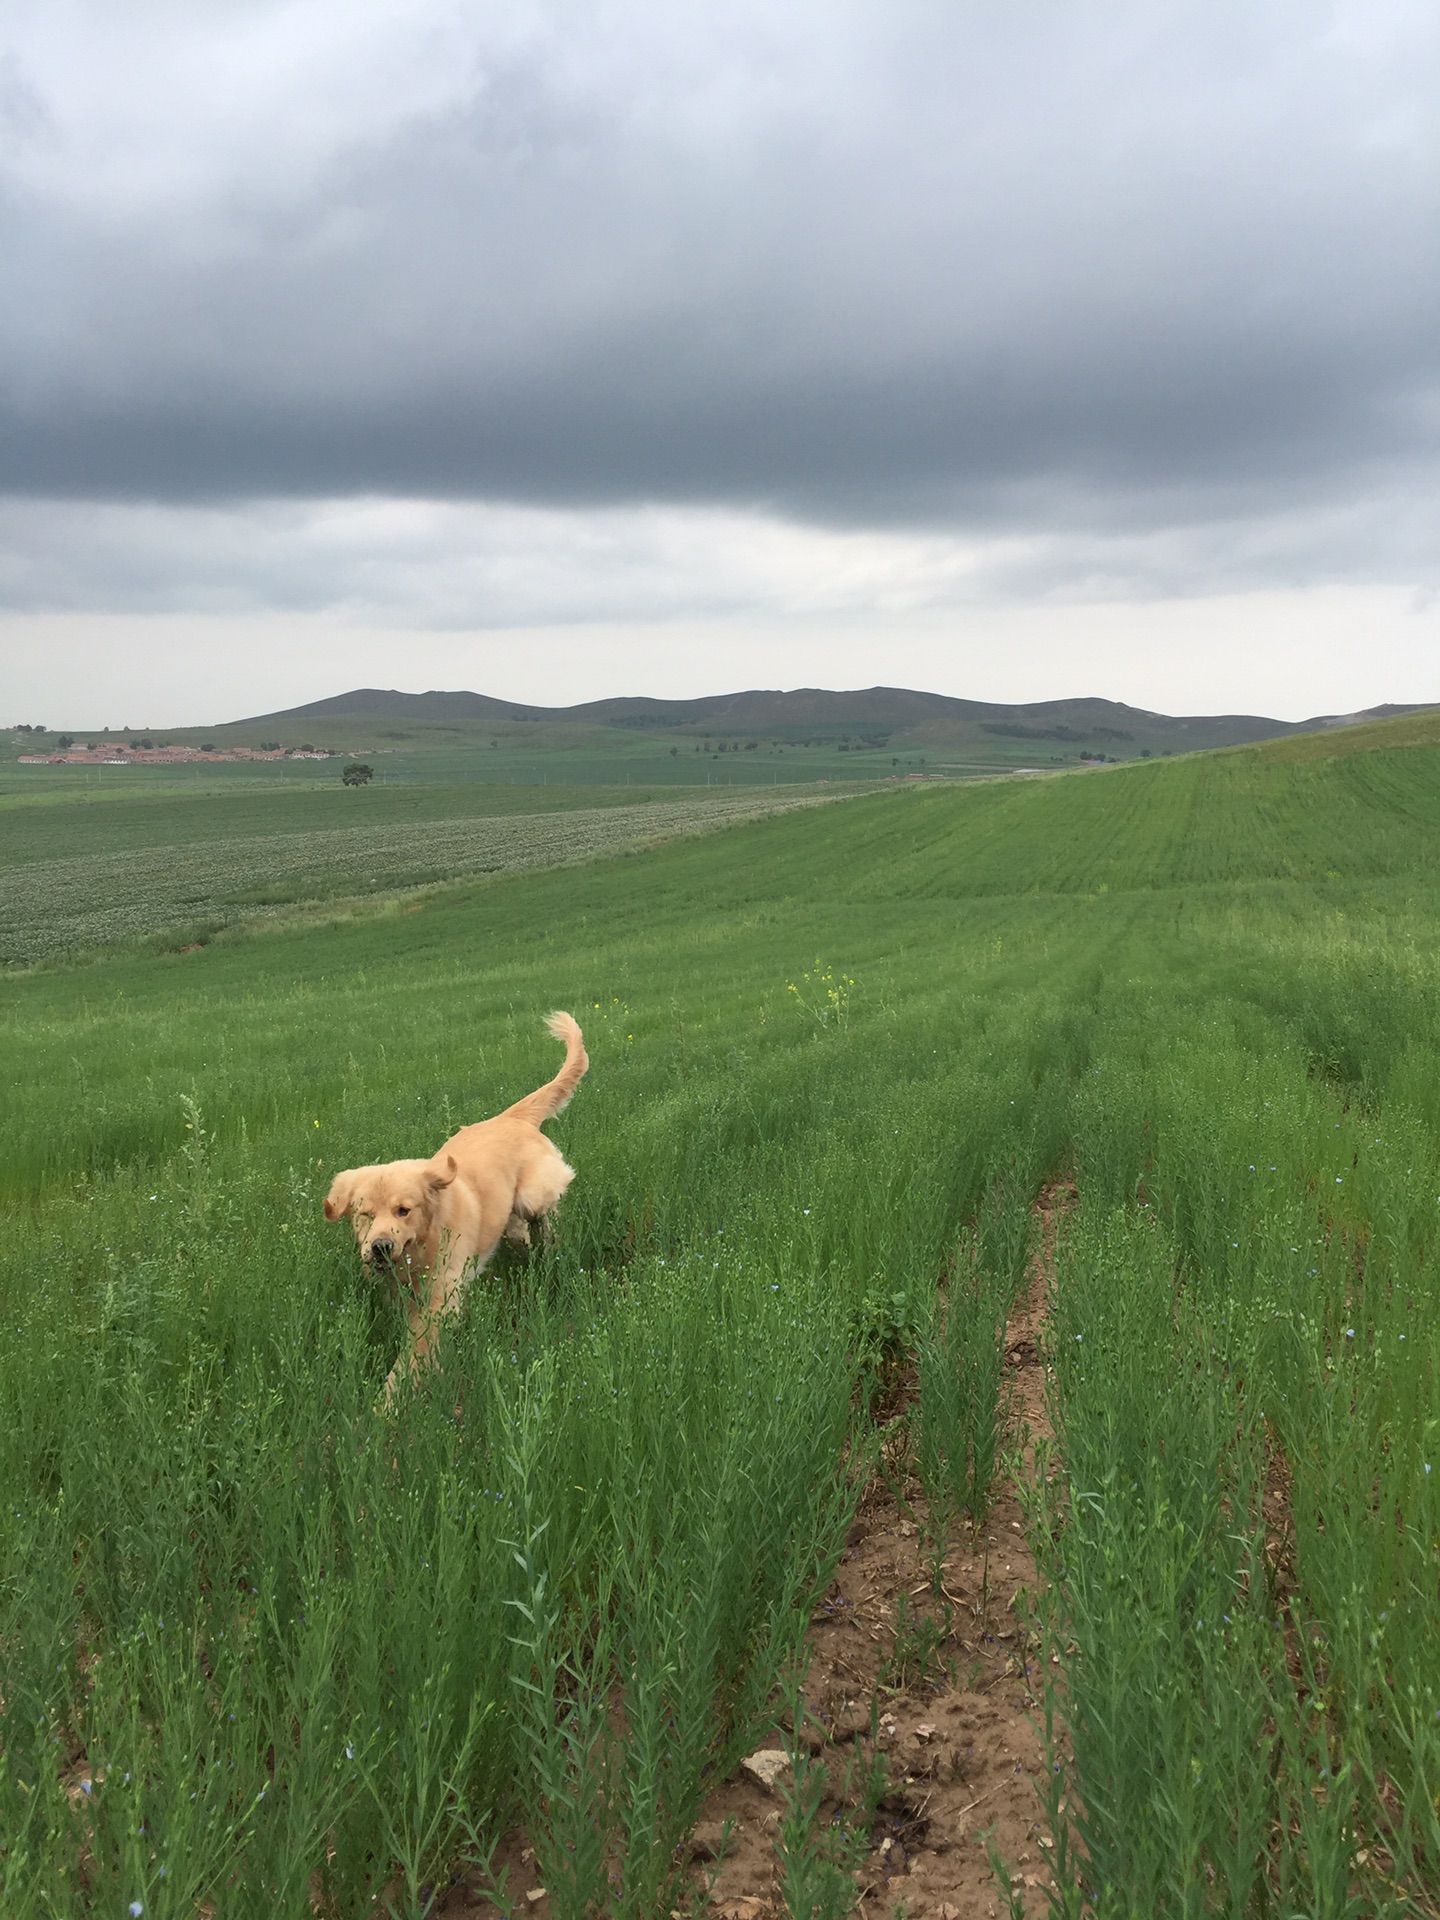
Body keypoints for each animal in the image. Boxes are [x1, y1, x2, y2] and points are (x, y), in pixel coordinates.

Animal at [324, 1013, 587, 1405]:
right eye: (364, 1214)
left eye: (404, 1210)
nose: (380, 1247)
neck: (421, 1246)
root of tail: (510, 1116)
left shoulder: (440, 1301)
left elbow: (413, 1356)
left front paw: (386, 1403)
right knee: (515, 1230)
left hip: (533, 1196)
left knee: (545, 1217)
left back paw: (550, 1247)